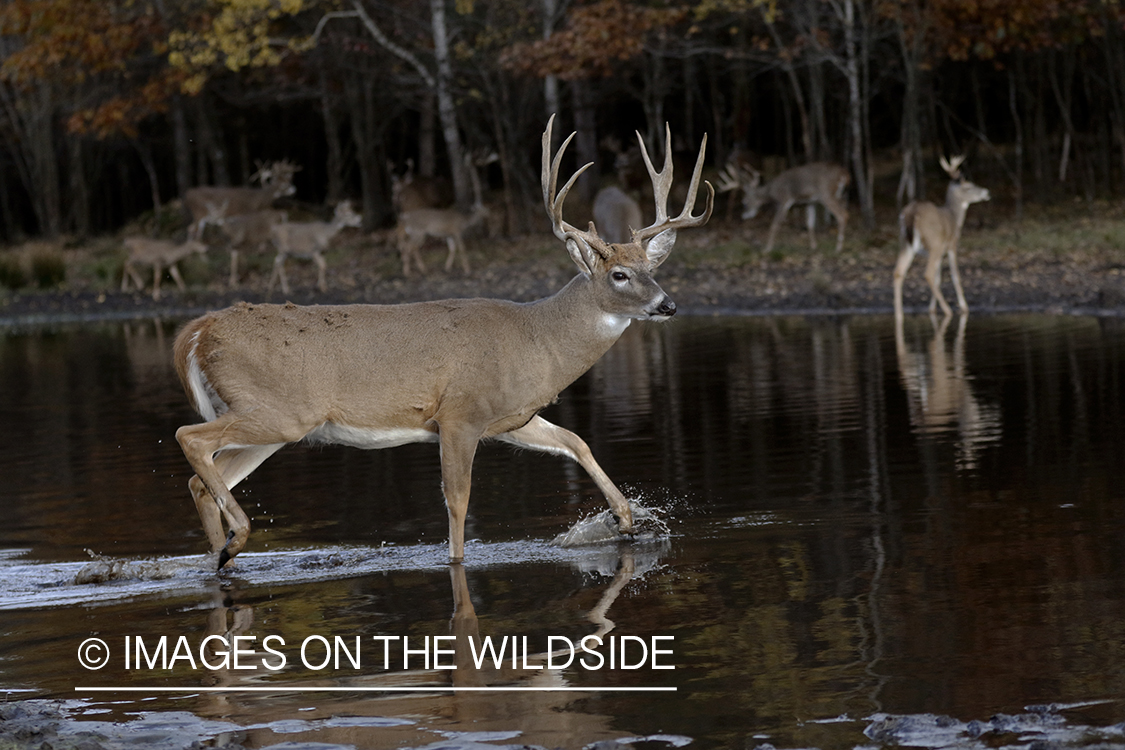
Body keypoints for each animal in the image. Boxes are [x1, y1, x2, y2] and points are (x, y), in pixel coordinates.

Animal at [169, 117, 706, 571]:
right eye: (619, 274)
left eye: (651, 267)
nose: (667, 305)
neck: (537, 339)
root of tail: (197, 330)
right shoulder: (458, 414)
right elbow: (458, 501)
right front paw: (456, 562)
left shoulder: (510, 418)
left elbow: (576, 441)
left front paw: (625, 519)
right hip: (277, 410)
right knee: (188, 438)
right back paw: (235, 540)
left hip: (271, 425)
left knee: (201, 478)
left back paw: (220, 558)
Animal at [715, 159, 846, 254]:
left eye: (744, 202)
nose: (744, 215)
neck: (771, 191)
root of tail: (844, 174)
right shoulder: (809, 202)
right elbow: (810, 224)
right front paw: (813, 246)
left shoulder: (784, 200)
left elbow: (775, 224)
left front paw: (767, 249)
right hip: (837, 195)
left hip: (826, 194)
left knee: (843, 215)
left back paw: (838, 248)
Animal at [891, 155, 990, 323]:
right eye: (968, 186)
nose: (986, 192)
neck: (955, 218)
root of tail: (911, 213)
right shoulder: (951, 245)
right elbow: (955, 275)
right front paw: (964, 307)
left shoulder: (939, 251)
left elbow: (939, 278)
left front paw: (932, 308)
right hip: (934, 243)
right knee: (928, 274)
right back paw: (948, 310)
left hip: (905, 243)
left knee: (898, 272)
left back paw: (899, 314)